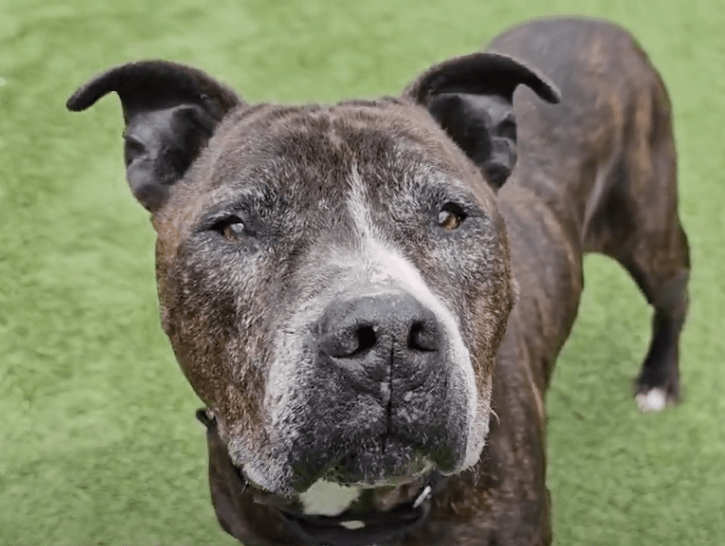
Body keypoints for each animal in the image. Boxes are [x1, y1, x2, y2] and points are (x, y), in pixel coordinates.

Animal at [68, 17, 692, 544]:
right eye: (234, 228)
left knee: (676, 292)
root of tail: (598, 22)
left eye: (449, 216)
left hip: (648, 231)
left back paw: (657, 381)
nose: (388, 334)